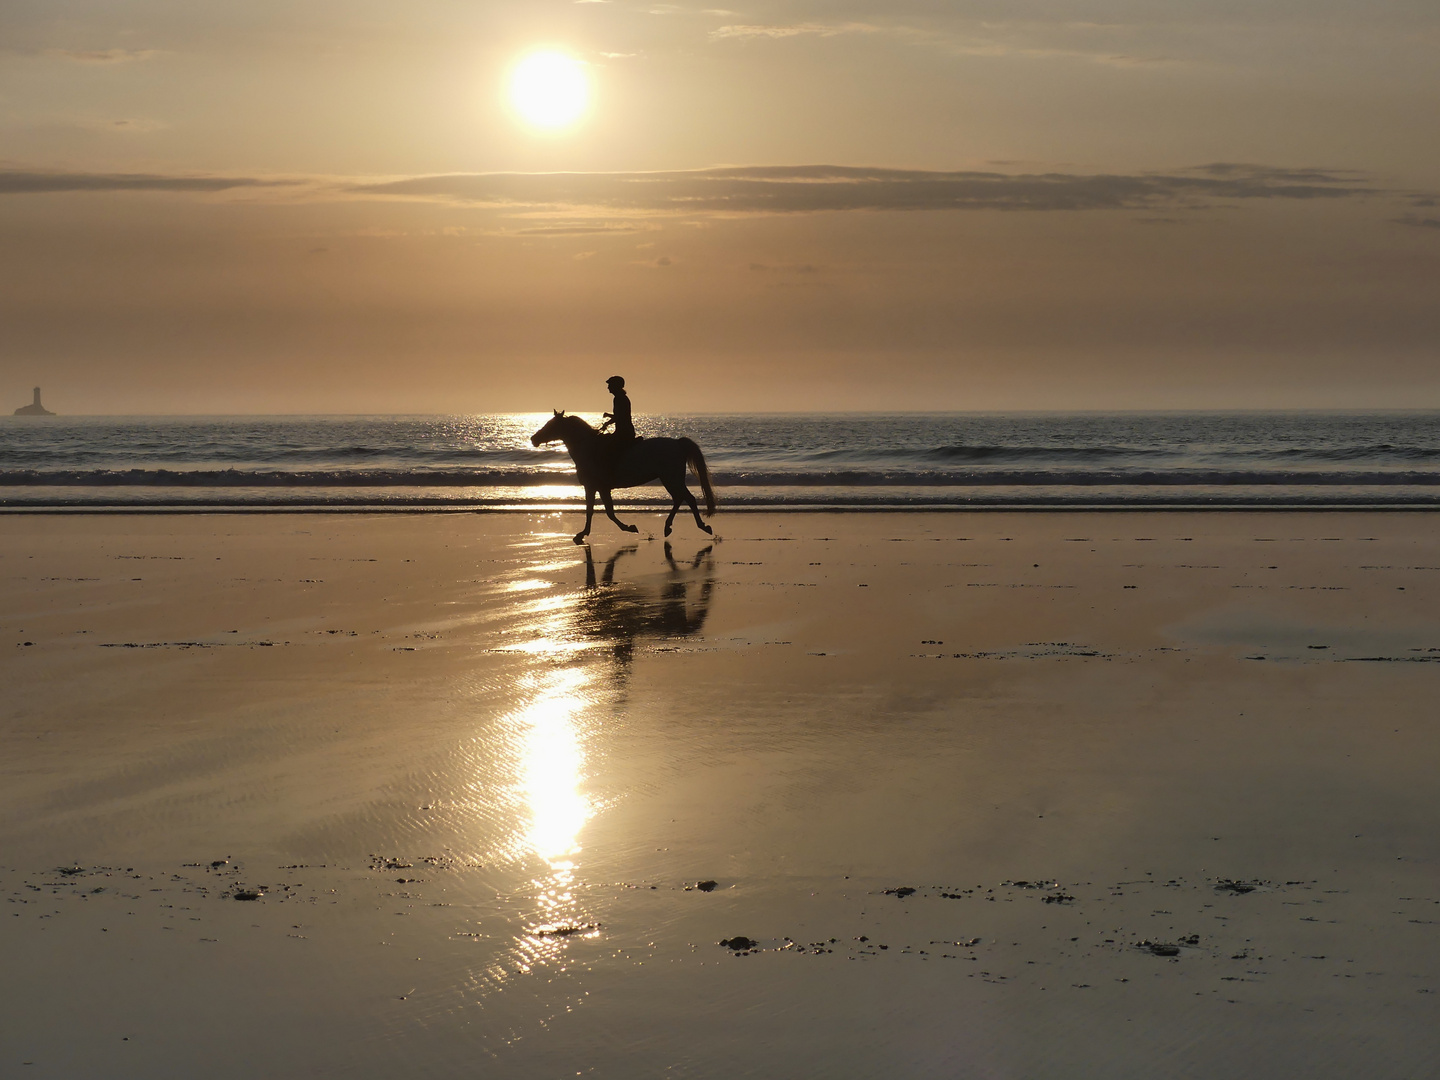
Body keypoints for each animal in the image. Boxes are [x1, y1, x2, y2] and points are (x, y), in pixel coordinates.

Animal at [532, 411, 717, 544]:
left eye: (550, 425)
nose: (533, 439)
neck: (589, 448)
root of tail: (677, 443)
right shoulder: (598, 488)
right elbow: (599, 511)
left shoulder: (595, 487)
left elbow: (603, 512)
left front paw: (627, 528)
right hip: (669, 479)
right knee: (679, 498)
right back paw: (668, 527)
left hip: (671, 478)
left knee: (688, 498)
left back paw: (703, 527)